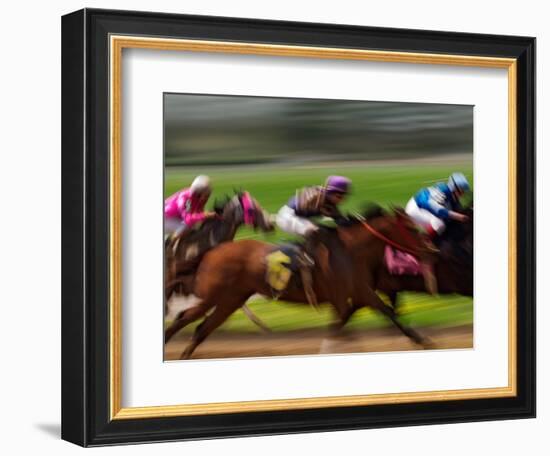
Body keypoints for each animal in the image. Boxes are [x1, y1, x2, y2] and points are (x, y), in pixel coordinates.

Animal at [166, 208, 438, 360]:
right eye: (412, 228)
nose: (430, 249)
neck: (352, 251)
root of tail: (213, 250)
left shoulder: (354, 297)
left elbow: (342, 324)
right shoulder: (358, 294)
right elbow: (387, 314)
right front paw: (424, 341)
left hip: (232, 299)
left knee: (201, 328)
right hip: (215, 296)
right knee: (185, 318)